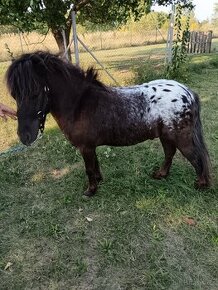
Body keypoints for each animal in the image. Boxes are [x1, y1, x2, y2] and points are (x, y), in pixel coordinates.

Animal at [6, 51, 209, 197]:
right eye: (15, 95)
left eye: (35, 92)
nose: (25, 136)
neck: (79, 104)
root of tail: (187, 92)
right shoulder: (89, 147)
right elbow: (95, 165)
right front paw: (98, 181)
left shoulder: (85, 147)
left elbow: (89, 169)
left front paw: (90, 191)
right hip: (166, 135)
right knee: (169, 154)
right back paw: (161, 175)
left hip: (180, 137)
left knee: (196, 158)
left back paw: (201, 185)